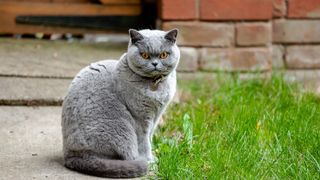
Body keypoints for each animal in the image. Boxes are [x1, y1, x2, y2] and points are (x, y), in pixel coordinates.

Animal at [61, 28, 179, 178]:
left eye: (164, 55)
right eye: (145, 55)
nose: (155, 64)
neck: (155, 85)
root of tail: (71, 155)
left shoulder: (156, 116)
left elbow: (150, 137)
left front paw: (152, 157)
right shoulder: (141, 118)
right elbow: (144, 142)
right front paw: (149, 160)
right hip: (122, 129)